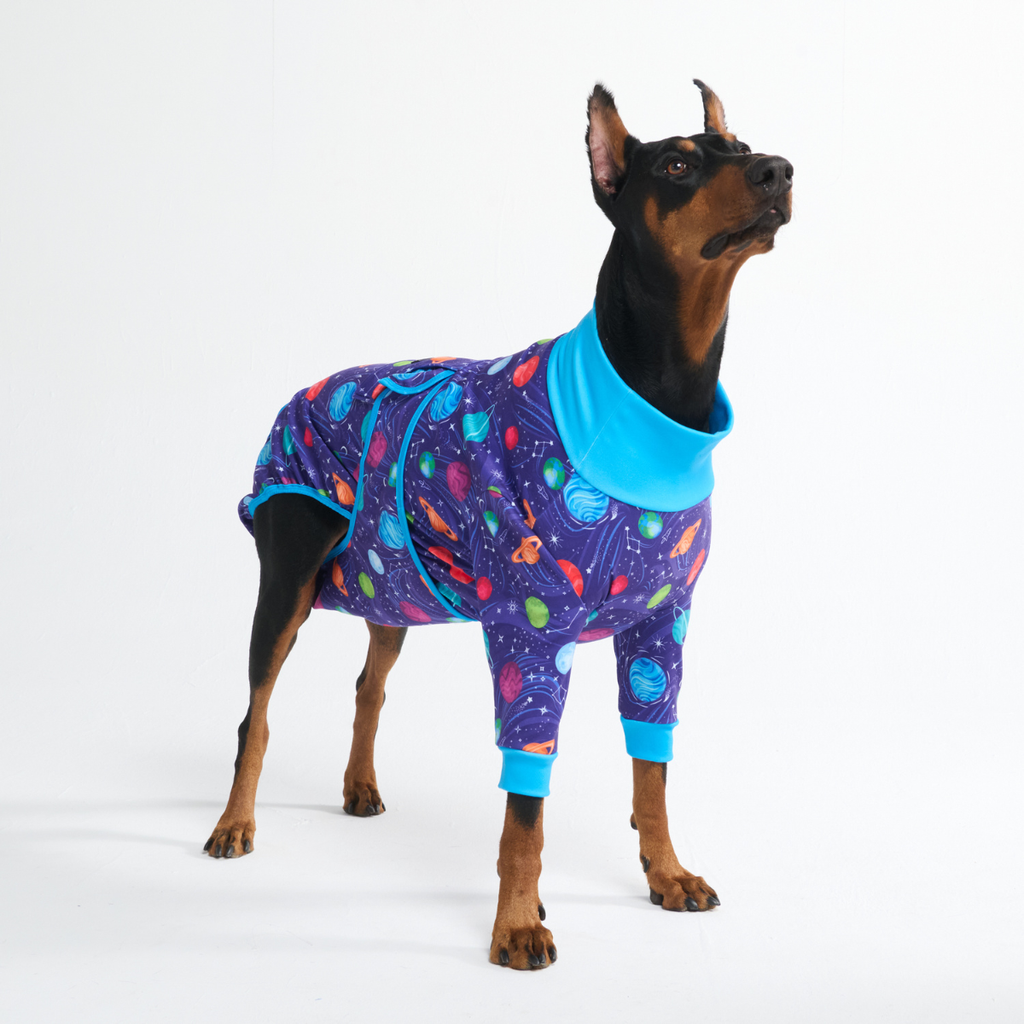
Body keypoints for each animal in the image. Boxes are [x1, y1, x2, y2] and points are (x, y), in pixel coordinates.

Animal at [205, 81, 792, 970]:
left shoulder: (661, 628)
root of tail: (299, 395)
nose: (779, 170)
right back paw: (235, 822)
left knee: (369, 684)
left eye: (746, 145)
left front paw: (666, 873)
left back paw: (359, 786)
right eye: (678, 165)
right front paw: (517, 921)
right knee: (256, 713)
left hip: (393, 584)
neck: (658, 395)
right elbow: (525, 807)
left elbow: (651, 770)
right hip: (289, 581)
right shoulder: (530, 633)